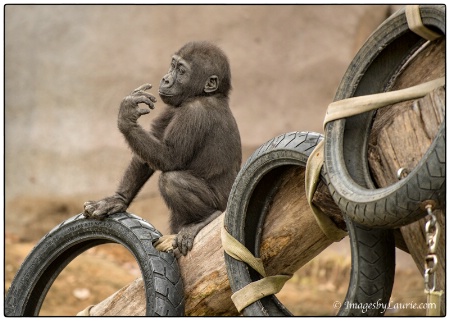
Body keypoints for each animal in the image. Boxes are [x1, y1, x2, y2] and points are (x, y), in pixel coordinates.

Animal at [82, 41, 241, 255]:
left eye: (181, 71)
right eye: (172, 65)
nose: (166, 79)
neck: (206, 94)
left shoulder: (194, 111)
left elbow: (169, 158)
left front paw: (126, 118)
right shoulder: (173, 106)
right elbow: (150, 150)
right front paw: (117, 199)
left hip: (225, 207)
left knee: (171, 180)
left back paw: (205, 218)